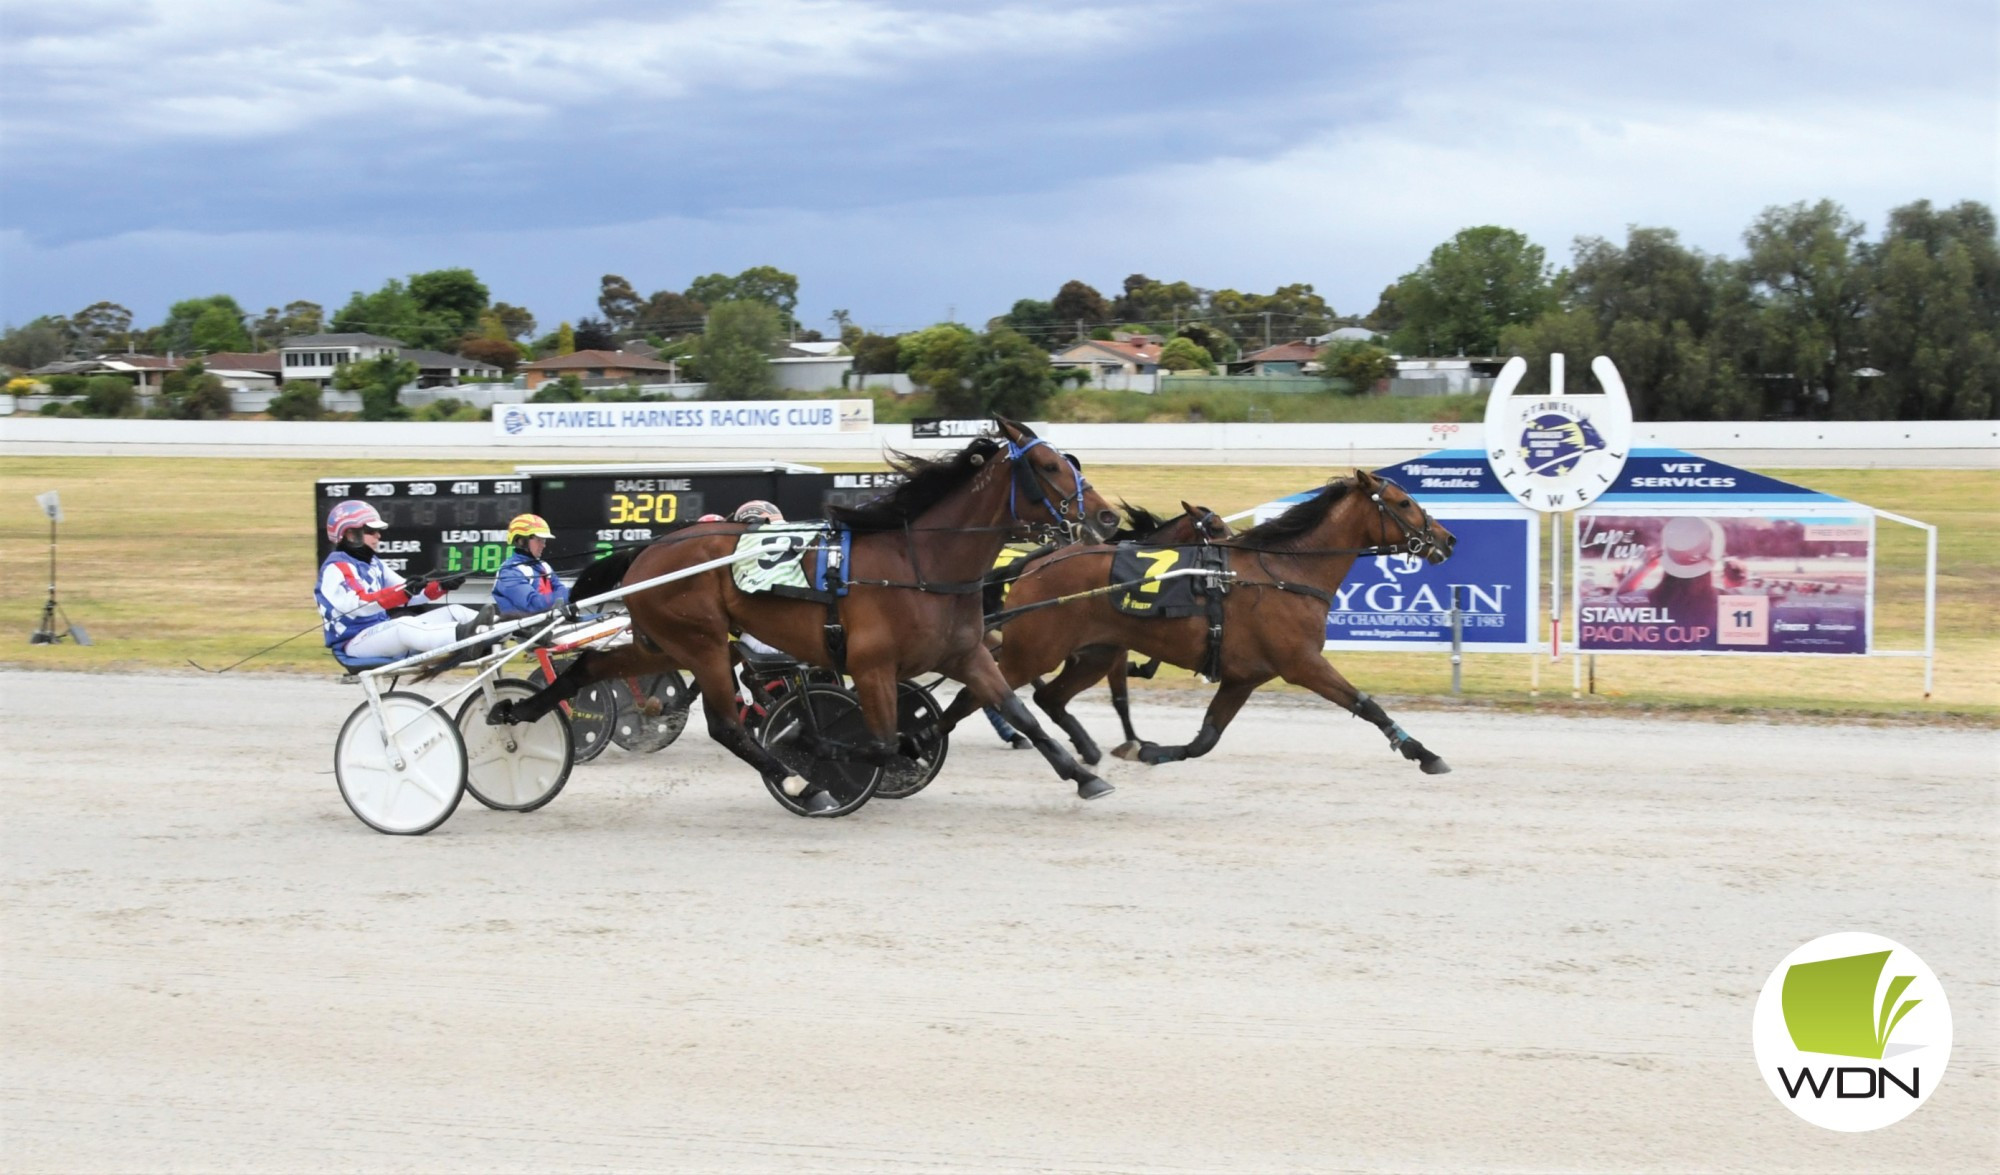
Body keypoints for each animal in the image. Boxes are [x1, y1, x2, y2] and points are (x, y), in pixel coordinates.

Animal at [476, 417, 1120, 811]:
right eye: (1049, 466)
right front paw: (820, 747)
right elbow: (878, 742)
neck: (917, 562)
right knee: (726, 724)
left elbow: (1019, 712)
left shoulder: (965, 654)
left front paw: (1086, 774)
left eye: (1070, 461)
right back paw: (798, 781)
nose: (1108, 518)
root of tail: (650, 550)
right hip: (703, 641)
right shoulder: (871, 665)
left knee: (589, 671)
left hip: (659, 641)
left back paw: (515, 712)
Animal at [944, 467, 1464, 779]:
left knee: (1045, 697)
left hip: (1092, 653)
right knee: (978, 695)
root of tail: (1033, 566)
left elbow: (1204, 740)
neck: (1286, 573)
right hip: (1033, 650)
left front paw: (1148, 750)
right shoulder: (1301, 663)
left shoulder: (1243, 676)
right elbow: (1366, 704)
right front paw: (1424, 753)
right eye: (1403, 503)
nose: (1447, 538)